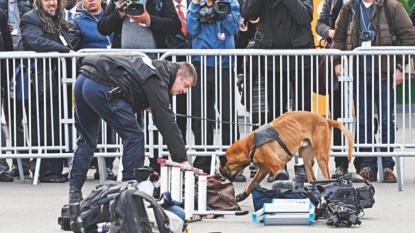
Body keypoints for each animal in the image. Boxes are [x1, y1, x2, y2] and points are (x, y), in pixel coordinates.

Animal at [219, 110, 352, 201]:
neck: (249, 145)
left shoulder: (277, 166)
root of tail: (325, 120)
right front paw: (243, 195)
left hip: (321, 158)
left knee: (327, 176)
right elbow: (251, 184)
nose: (224, 182)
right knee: (312, 178)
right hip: (306, 159)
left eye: (221, 171)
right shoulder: (263, 170)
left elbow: (279, 181)